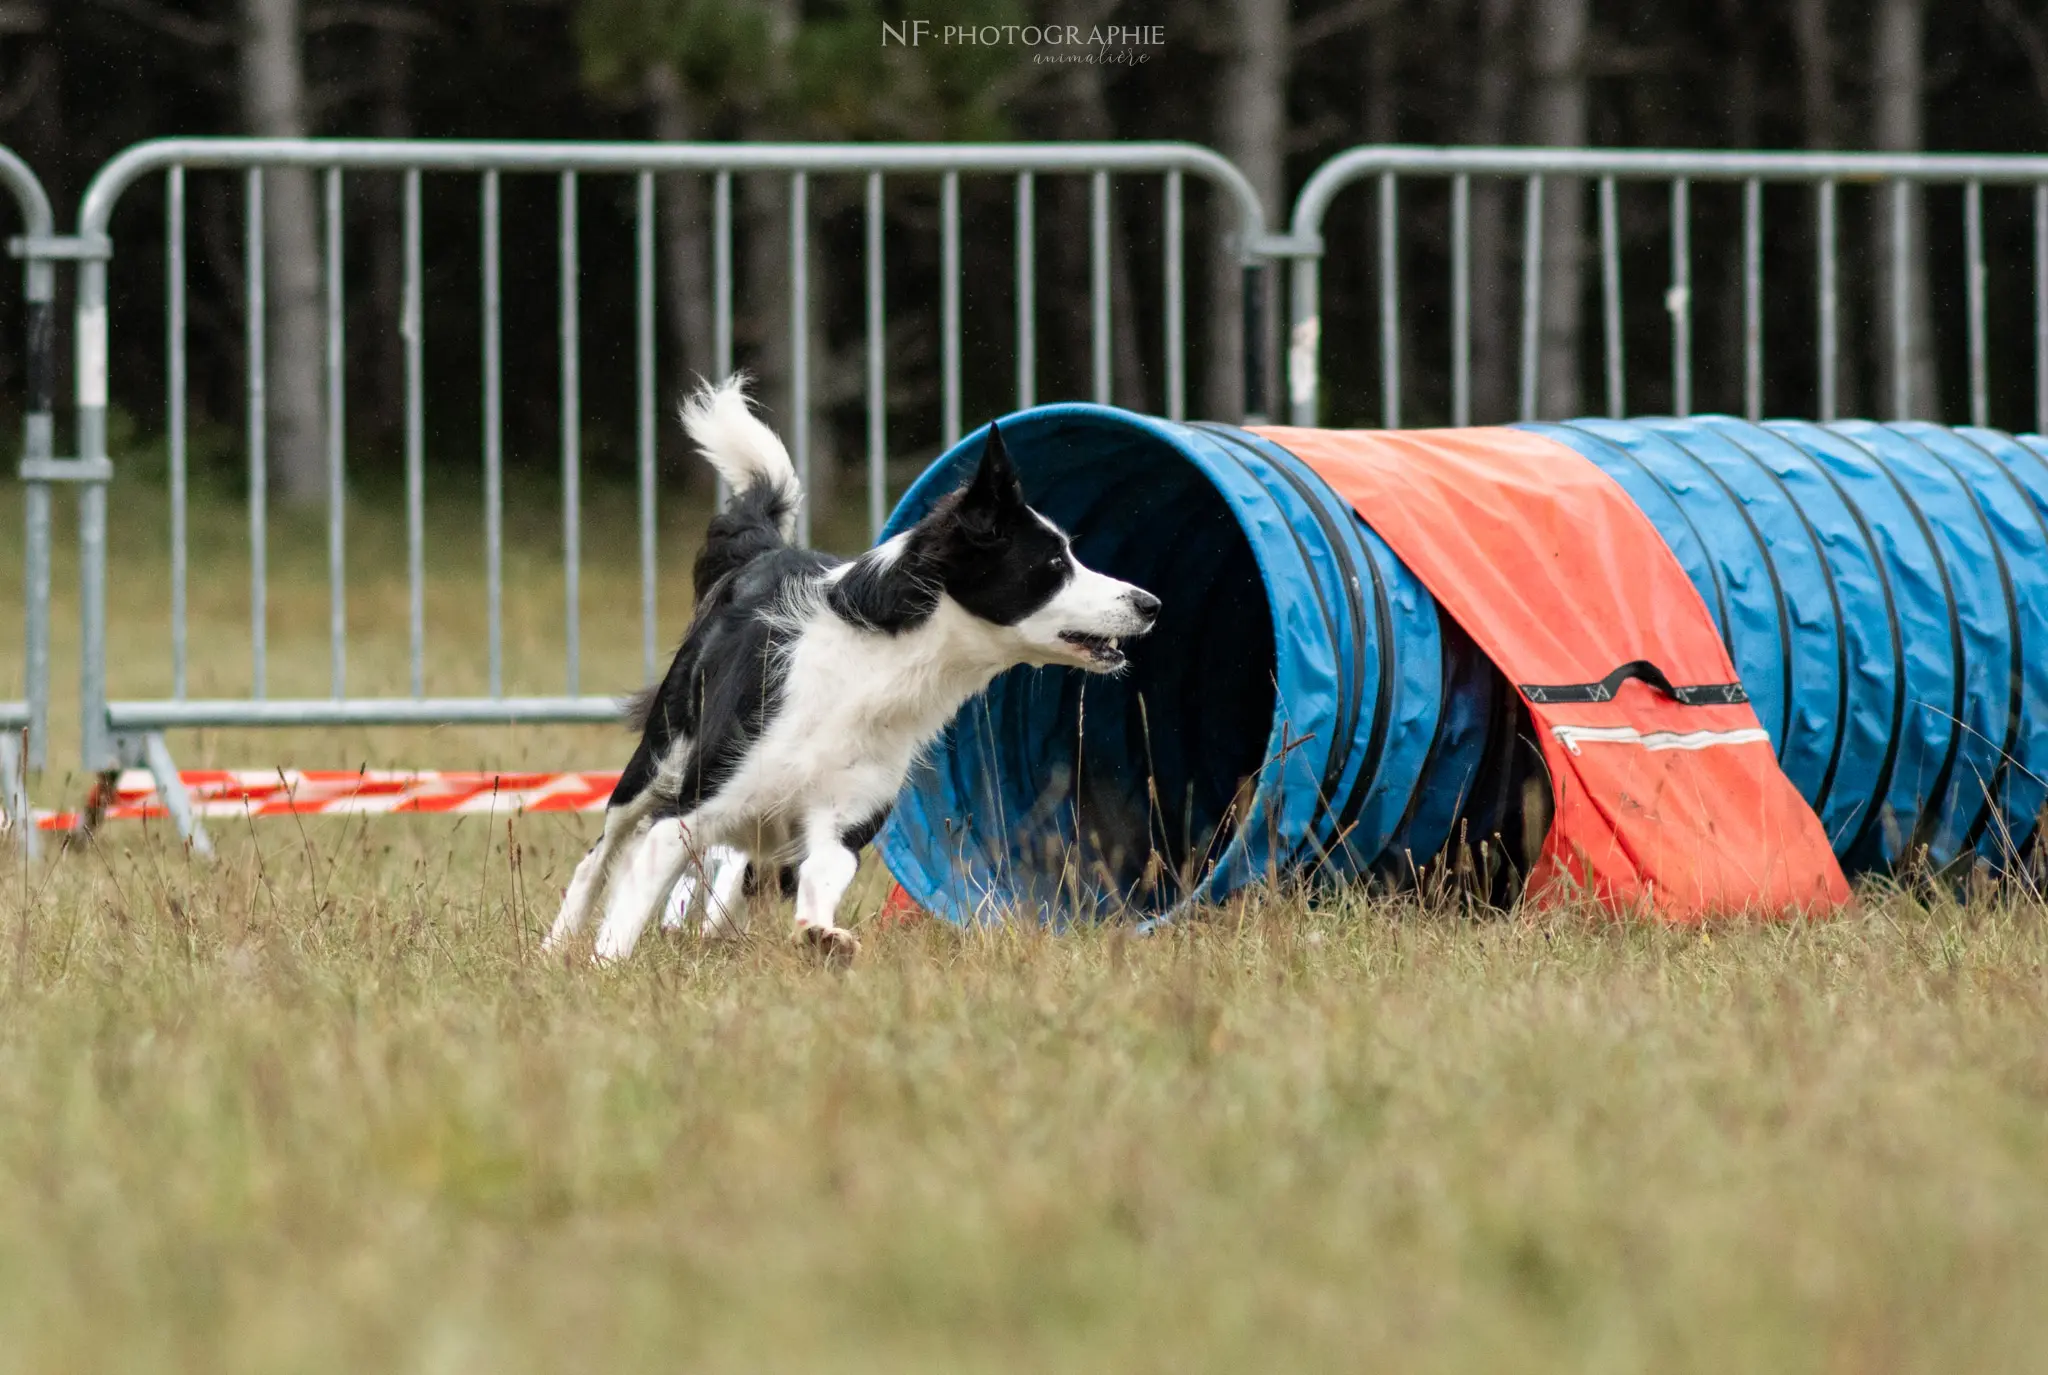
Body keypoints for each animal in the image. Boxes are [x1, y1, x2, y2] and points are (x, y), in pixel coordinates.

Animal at [544, 370, 1163, 963]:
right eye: (1055, 564)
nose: (1151, 604)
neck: (881, 669)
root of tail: (769, 550)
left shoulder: (844, 816)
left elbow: (823, 871)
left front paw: (822, 935)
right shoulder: (693, 808)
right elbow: (634, 896)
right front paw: (605, 968)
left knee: (737, 869)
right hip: (660, 754)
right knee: (602, 853)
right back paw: (556, 945)